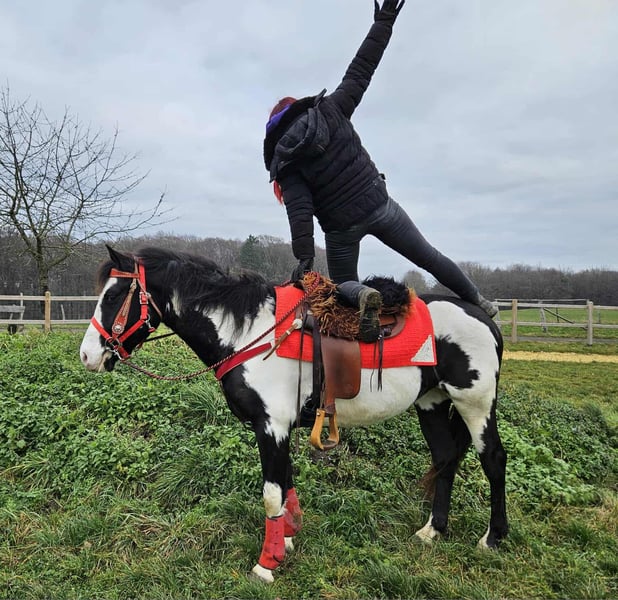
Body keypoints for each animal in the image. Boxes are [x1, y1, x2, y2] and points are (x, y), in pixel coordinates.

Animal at [79, 245, 508, 583]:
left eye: (114, 296)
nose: (87, 356)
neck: (250, 333)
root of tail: (483, 318)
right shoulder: (278, 427)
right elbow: (285, 486)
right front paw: (286, 539)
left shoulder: (270, 425)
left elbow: (271, 495)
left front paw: (267, 564)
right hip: (432, 402)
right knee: (446, 458)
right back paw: (433, 531)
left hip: (475, 402)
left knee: (493, 459)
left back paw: (493, 538)